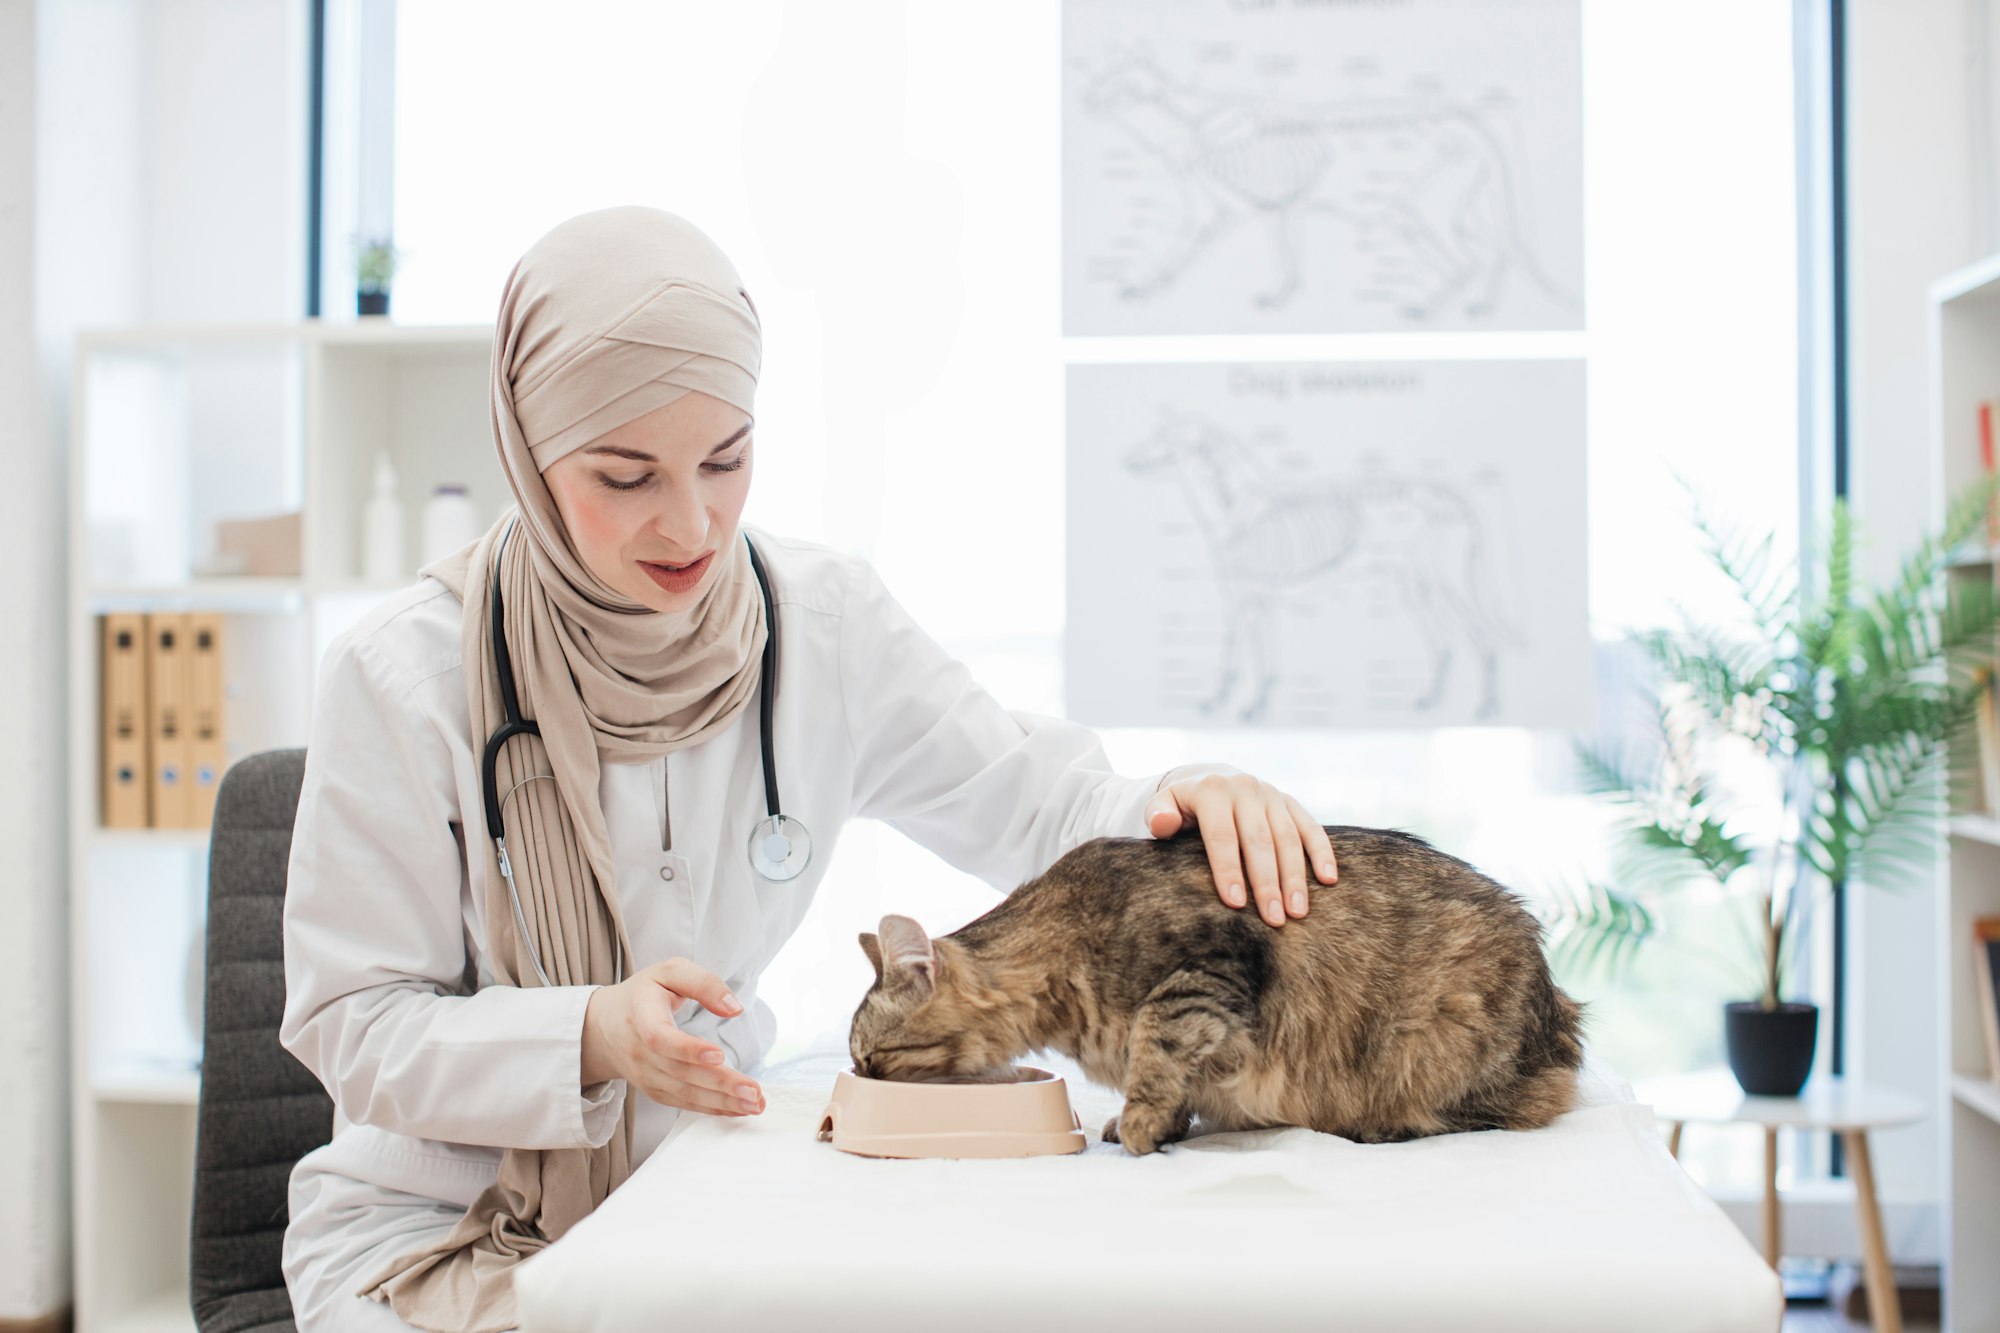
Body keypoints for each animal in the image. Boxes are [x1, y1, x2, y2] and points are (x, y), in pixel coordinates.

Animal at [844, 816, 1576, 1144]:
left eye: (871, 1058)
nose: (857, 1079)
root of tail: (1558, 1002)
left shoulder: (1210, 965)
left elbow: (1155, 1046)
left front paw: (1140, 1124)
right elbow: (1181, 1079)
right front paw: (1158, 1123)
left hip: (1437, 1043)